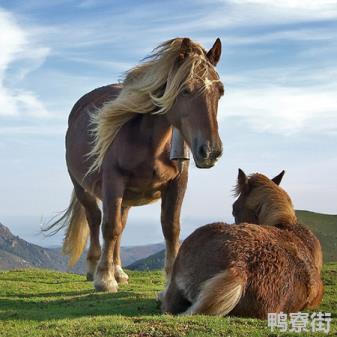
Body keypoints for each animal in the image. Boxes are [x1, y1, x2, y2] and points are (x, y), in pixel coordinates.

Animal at [45, 37, 223, 292]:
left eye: (220, 91)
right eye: (185, 90)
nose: (210, 151)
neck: (149, 141)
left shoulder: (178, 183)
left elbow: (170, 228)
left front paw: (170, 279)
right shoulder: (113, 181)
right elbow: (109, 226)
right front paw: (104, 279)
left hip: (127, 197)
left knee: (121, 225)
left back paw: (118, 270)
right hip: (83, 187)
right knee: (95, 219)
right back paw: (94, 267)